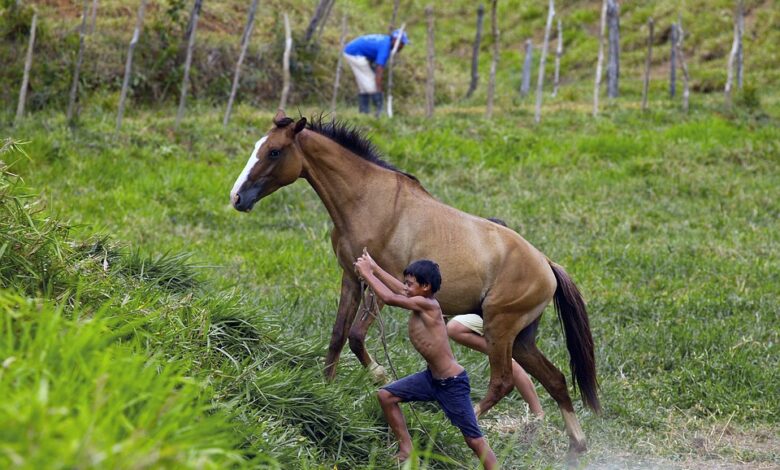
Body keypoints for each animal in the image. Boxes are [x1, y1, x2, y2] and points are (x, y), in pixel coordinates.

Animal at [229, 109, 600, 452]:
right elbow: (337, 337)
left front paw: (378, 374)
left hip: (500, 328)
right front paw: (326, 390)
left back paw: (458, 424)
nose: (236, 197)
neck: (369, 200)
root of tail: (547, 264)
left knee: (503, 381)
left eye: (274, 151)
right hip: (521, 338)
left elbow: (356, 336)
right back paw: (577, 446)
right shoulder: (351, 278)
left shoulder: (384, 286)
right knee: (555, 379)